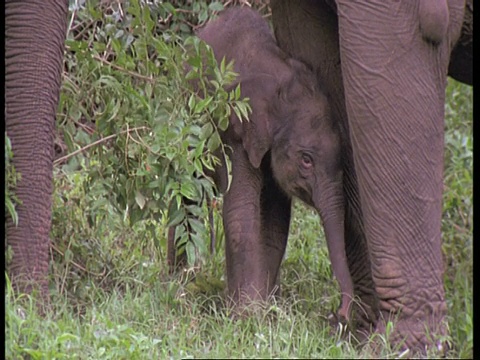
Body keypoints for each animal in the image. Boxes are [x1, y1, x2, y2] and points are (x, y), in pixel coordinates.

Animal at [197, 5, 350, 320]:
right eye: (306, 160)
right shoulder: (238, 132)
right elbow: (241, 211)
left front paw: (260, 309)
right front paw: (246, 314)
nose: (339, 314)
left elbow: (275, 222)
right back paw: (178, 277)